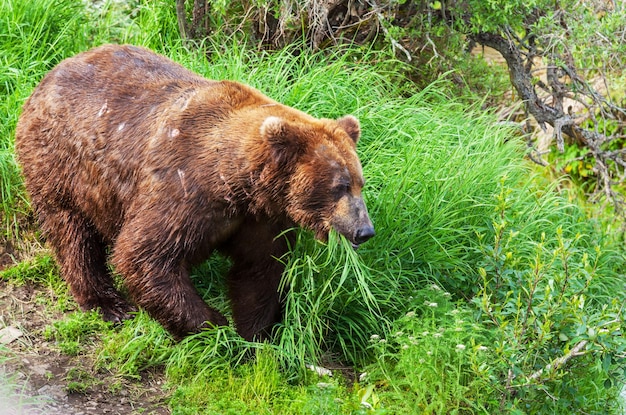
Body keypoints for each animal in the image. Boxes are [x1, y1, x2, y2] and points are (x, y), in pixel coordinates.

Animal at [15, 44, 370, 342]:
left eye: (360, 182)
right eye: (340, 185)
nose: (365, 230)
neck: (235, 181)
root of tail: (51, 73)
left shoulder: (260, 218)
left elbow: (260, 270)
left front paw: (255, 334)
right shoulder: (183, 190)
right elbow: (144, 254)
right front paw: (214, 327)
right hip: (60, 164)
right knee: (72, 233)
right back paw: (108, 303)